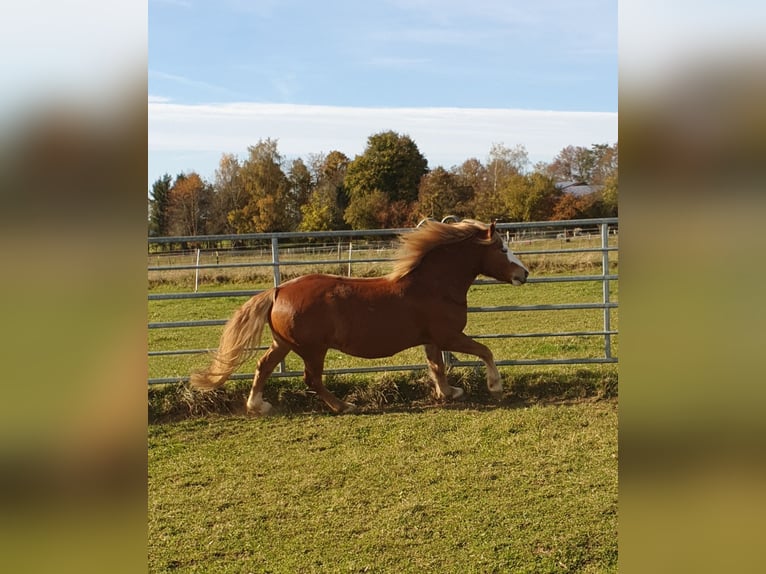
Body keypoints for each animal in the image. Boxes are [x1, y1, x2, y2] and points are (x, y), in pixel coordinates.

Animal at [189, 219, 532, 414]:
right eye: (502, 249)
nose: (524, 274)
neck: (434, 285)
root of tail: (277, 291)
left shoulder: (432, 340)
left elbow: (437, 367)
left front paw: (450, 392)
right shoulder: (449, 336)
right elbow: (484, 351)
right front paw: (495, 386)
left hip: (284, 344)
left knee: (264, 367)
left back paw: (258, 406)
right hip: (313, 350)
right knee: (311, 379)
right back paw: (344, 405)